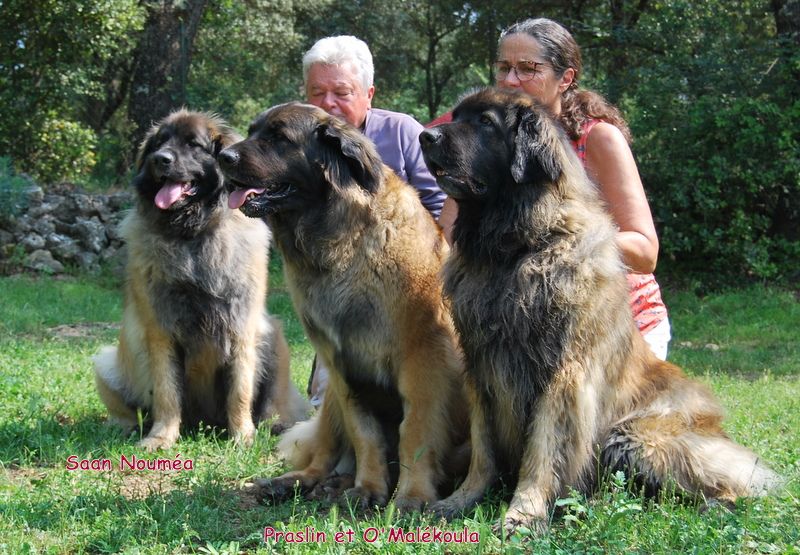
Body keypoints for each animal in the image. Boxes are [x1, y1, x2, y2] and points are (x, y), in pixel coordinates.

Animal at [92, 108, 308, 452]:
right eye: (159, 143)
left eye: (194, 144)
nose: (160, 159)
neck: (194, 234)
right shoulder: (161, 330)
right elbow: (167, 392)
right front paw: (161, 437)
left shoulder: (241, 327)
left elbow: (240, 391)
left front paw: (242, 437)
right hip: (106, 362)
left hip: (273, 336)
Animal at [219, 102, 468, 510]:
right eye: (253, 131)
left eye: (278, 137)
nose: (223, 157)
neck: (340, 243)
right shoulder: (344, 368)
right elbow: (367, 435)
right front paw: (368, 489)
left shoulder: (424, 362)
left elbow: (414, 431)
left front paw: (412, 496)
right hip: (331, 400)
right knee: (322, 459)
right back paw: (298, 483)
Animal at [416, 90, 780, 536]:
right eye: (456, 115)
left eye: (485, 122)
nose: (426, 136)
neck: (514, 249)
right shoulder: (482, 367)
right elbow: (484, 450)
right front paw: (459, 500)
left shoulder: (565, 374)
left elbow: (543, 449)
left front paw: (523, 514)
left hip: (634, 437)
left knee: (719, 483)